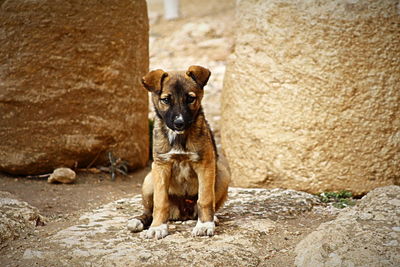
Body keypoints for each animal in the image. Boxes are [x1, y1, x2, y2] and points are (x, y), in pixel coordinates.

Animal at [126, 66, 230, 240]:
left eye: (190, 99)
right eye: (166, 100)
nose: (179, 123)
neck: (179, 137)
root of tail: (183, 213)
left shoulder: (205, 164)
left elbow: (205, 199)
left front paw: (205, 225)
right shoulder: (161, 165)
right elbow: (160, 202)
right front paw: (158, 227)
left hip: (222, 174)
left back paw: (212, 217)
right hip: (149, 179)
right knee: (149, 211)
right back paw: (138, 221)